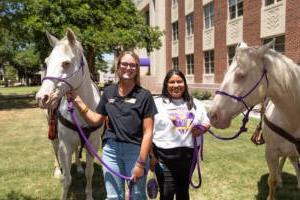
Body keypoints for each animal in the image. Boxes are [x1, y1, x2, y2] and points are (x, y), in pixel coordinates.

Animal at [35, 28, 102, 200]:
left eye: (66, 63)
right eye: (46, 63)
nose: (41, 98)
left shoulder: (92, 144)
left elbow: (89, 173)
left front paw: (89, 194)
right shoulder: (65, 147)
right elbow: (67, 180)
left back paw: (77, 167)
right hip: (53, 132)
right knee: (54, 148)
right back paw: (58, 170)